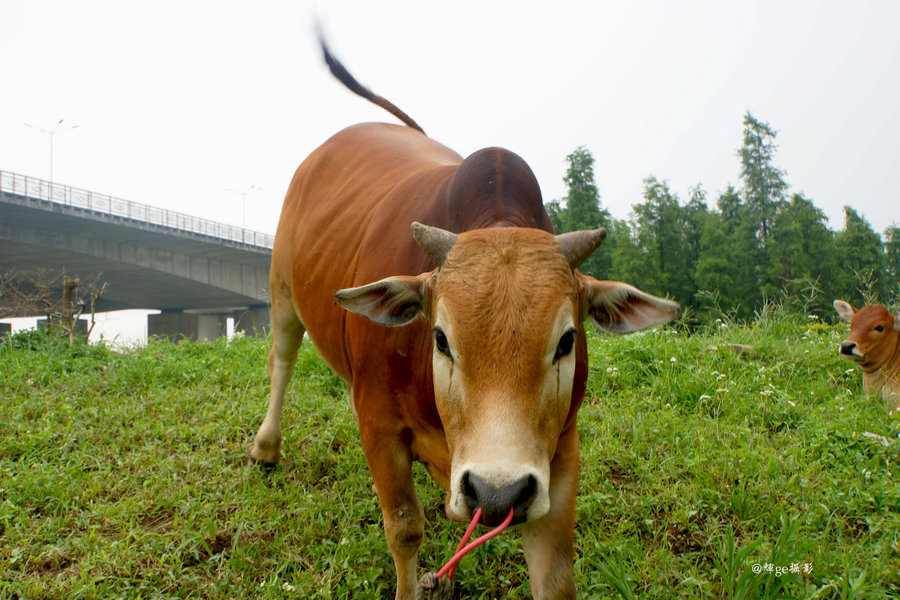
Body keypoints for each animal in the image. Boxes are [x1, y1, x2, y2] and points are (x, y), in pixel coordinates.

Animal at [250, 43, 680, 600]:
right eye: (440, 338)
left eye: (567, 341)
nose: (497, 492)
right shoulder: (379, 426)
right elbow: (404, 528)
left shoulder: (559, 452)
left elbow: (555, 573)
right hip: (282, 290)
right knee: (281, 361)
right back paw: (266, 447)